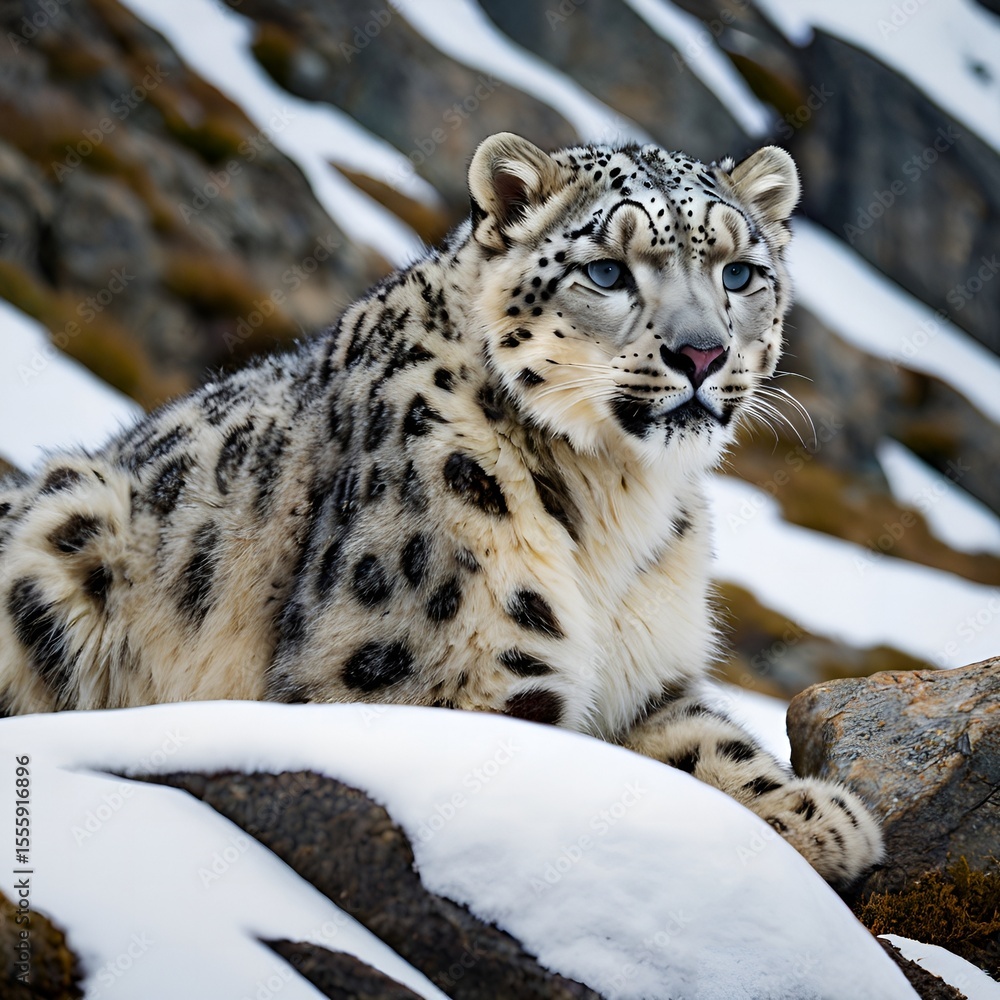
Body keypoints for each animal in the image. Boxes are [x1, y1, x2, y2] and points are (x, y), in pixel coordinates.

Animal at [0, 132, 882, 885]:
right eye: (606, 272)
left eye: (739, 273)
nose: (702, 353)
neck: (616, 501)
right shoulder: (450, 681)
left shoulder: (649, 672)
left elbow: (705, 741)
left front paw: (818, 816)